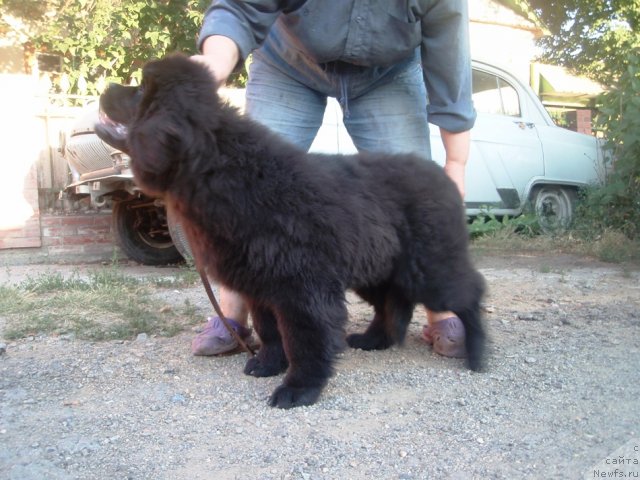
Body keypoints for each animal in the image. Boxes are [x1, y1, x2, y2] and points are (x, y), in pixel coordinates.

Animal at [95, 53, 484, 408]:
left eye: (140, 89)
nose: (105, 87)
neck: (220, 166)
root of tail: (445, 177)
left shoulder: (303, 289)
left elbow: (305, 340)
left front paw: (299, 388)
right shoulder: (261, 285)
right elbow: (269, 331)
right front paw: (268, 364)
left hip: (428, 270)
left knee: (470, 292)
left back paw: (478, 353)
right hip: (376, 271)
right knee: (389, 304)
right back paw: (374, 340)